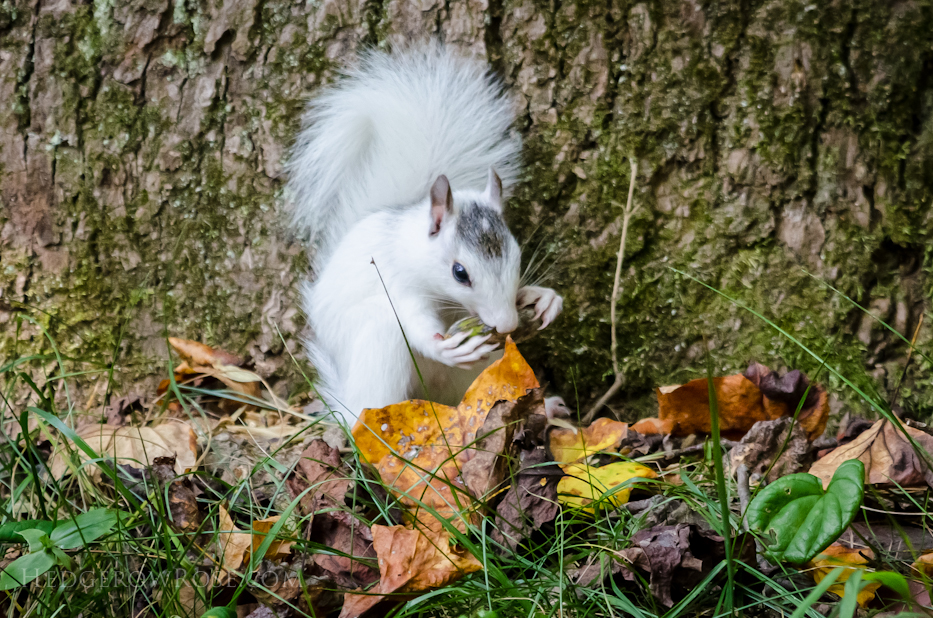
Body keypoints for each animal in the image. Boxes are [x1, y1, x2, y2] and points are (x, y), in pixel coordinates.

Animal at [286, 45, 560, 426]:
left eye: (518, 257)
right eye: (459, 273)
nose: (507, 324)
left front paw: (541, 297)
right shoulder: (394, 280)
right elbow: (413, 320)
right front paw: (440, 346)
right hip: (379, 345)